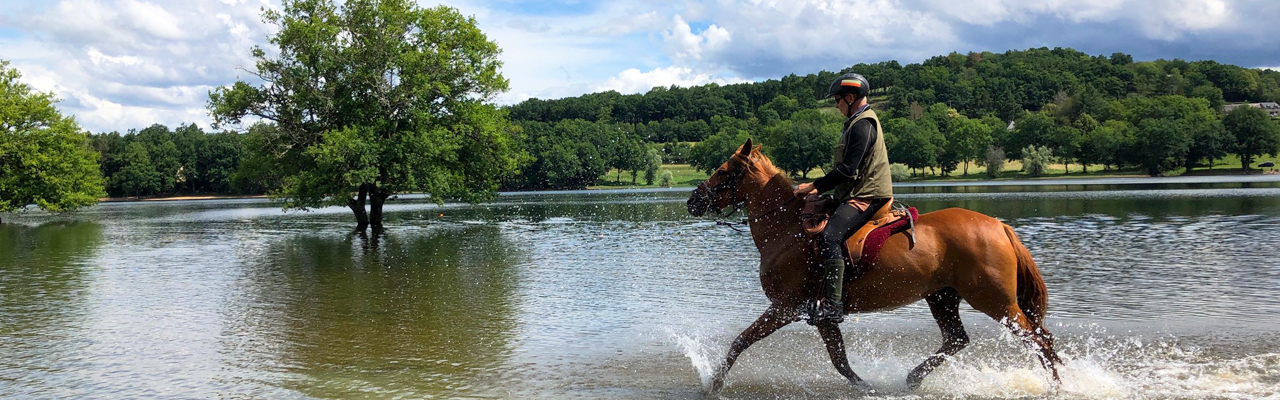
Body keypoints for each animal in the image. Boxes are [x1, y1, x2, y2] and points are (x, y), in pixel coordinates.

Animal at [686, 139, 1064, 392]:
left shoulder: (784, 307)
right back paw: (912, 378)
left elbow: (740, 342)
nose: (692, 200)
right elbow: (839, 359)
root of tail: (999, 226)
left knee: (1040, 342)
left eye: (722, 171)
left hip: (996, 302)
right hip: (942, 297)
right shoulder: (820, 313)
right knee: (957, 339)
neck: (787, 229)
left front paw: (714, 384)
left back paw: (1057, 387)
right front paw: (866, 386)